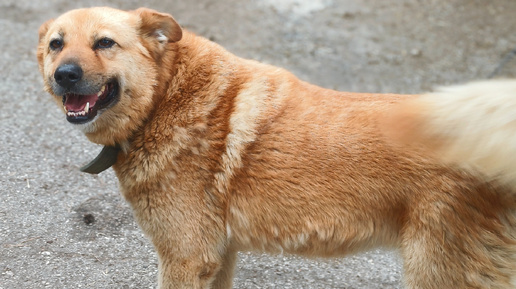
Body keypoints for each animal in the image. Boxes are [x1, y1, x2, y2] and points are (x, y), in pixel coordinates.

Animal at [36, 6, 516, 288]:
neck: (165, 96)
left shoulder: (186, 258)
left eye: (105, 43)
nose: (65, 74)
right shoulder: (217, 256)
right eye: (56, 44)